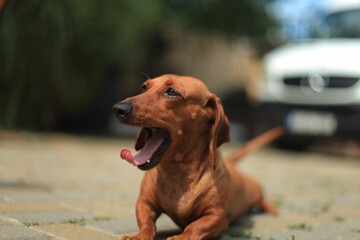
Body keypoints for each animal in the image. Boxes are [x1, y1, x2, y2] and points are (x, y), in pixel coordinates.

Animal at [113, 74, 284, 239]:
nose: (118, 108)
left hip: (255, 192)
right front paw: (138, 236)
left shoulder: (217, 217)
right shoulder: (144, 203)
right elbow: (147, 223)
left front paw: (180, 237)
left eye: (171, 92)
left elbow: (195, 227)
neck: (177, 173)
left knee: (262, 200)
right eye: (144, 87)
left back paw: (271, 209)